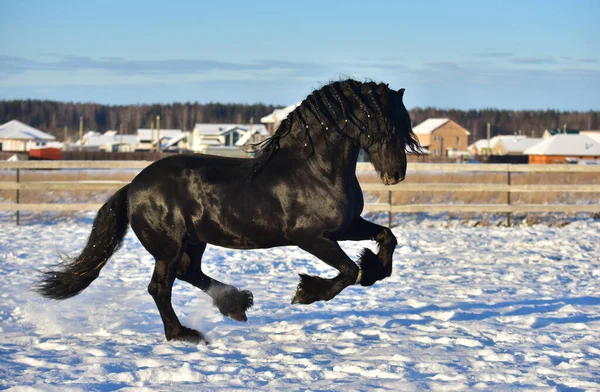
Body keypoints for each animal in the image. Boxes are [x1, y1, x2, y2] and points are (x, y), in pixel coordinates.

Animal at [35, 79, 420, 344]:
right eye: (382, 122)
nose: (396, 174)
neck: (314, 170)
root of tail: (132, 187)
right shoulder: (311, 237)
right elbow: (347, 271)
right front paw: (305, 293)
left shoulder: (346, 226)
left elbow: (387, 238)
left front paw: (374, 270)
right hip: (169, 247)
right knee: (160, 287)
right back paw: (185, 334)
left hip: (195, 241)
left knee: (189, 273)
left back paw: (235, 305)